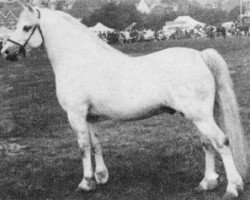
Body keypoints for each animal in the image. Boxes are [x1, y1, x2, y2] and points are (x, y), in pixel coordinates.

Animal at [1, 3, 248, 199]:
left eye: (25, 27)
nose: (6, 52)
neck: (79, 61)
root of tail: (200, 56)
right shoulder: (88, 117)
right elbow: (96, 143)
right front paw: (101, 177)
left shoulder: (75, 115)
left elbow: (83, 148)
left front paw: (86, 183)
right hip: (199, 116)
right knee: (207, 144)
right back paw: (207, 183)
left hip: (200, 116)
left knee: (221, 142)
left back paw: (233, 188)